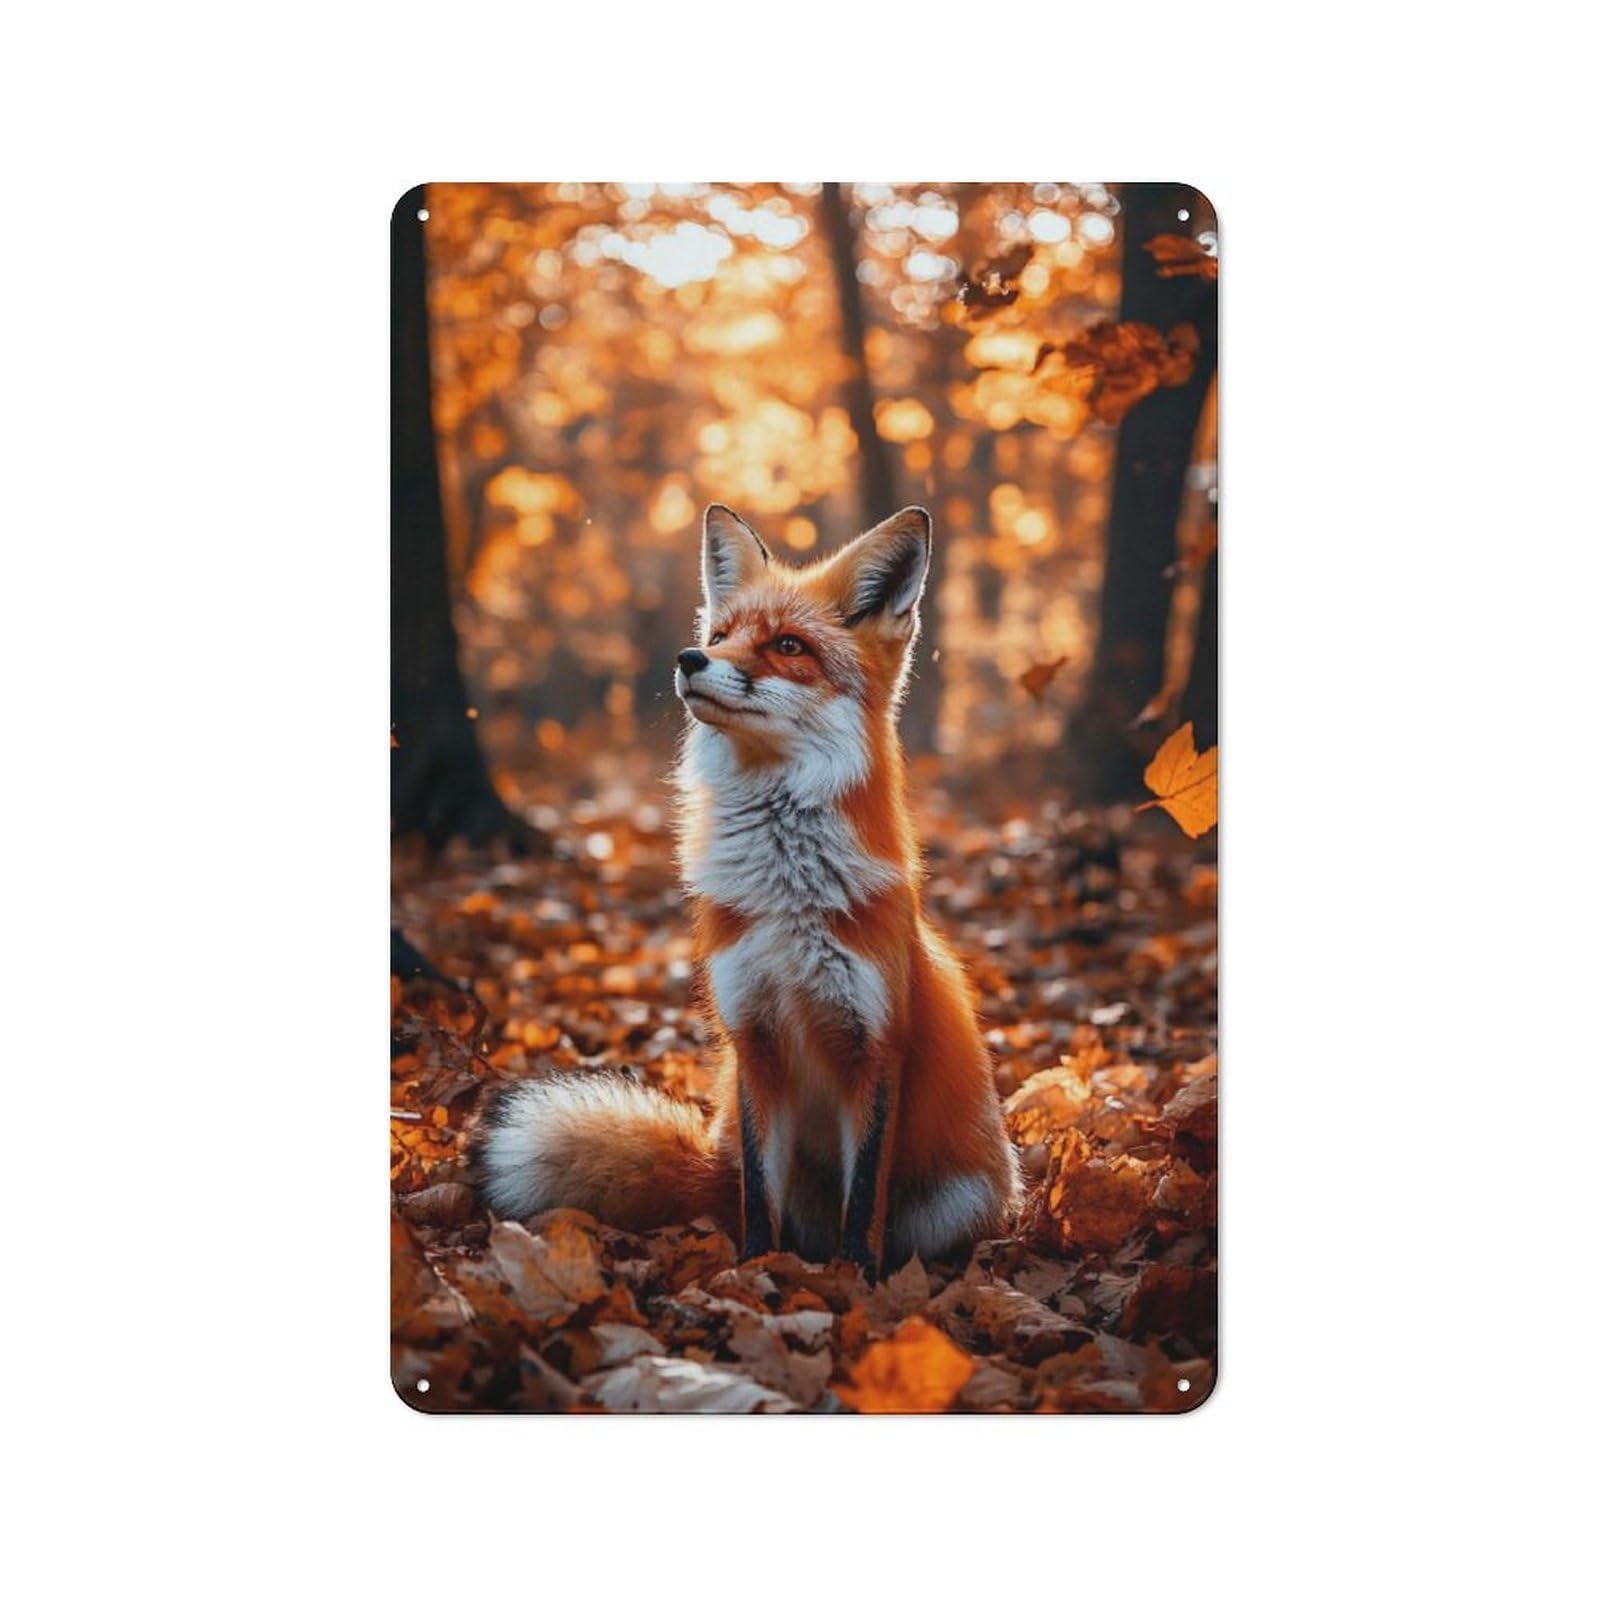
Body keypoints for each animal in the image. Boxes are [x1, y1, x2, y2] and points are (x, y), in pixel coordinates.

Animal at [474, 503, 1020, 1271]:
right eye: (720, 637)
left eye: (788, 645)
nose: (689, 659)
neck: (788, 894)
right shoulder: (754, 1041)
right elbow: (759, 1197)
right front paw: (760, 1271)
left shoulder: (875, 1047)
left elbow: (864, 1207)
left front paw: (854, 1282)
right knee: (740, 1189)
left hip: (961, 1200)